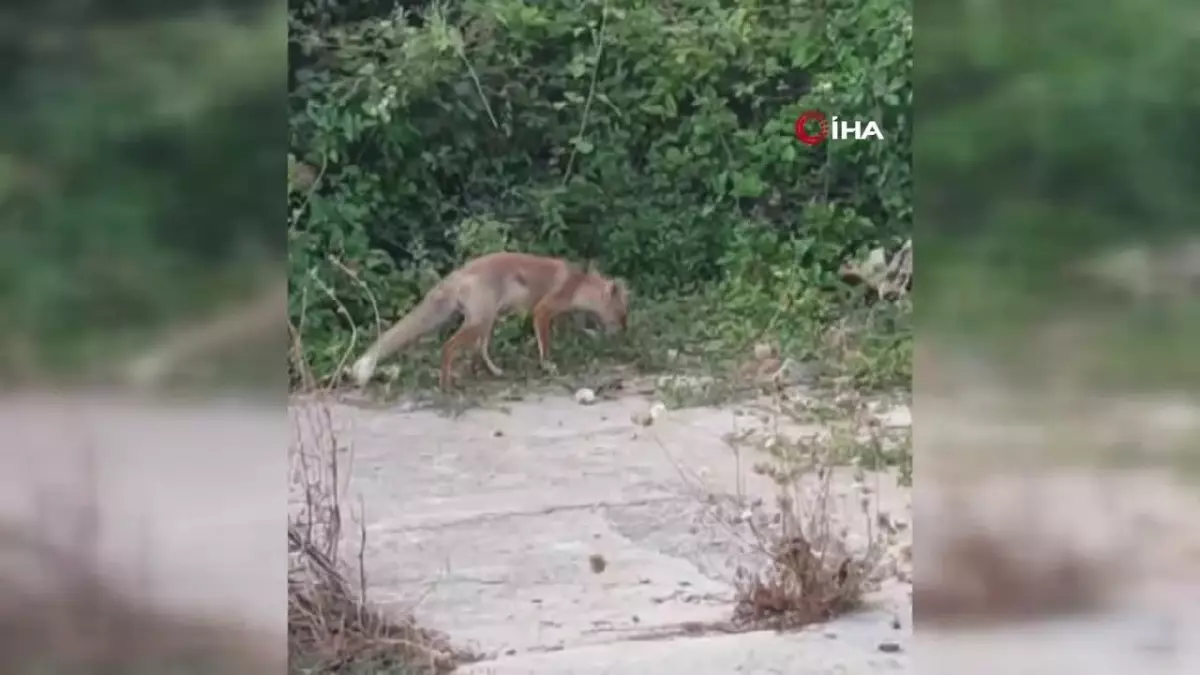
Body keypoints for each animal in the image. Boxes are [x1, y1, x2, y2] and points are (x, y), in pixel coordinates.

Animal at [348, 251, 628, 389]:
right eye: (622, 314)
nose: (625, 331)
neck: (578, 285)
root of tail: (457, 273)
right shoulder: (542, 310)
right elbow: (545, 346)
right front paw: (548, 366)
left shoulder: (557, 315)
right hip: (480, 323)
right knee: (449, 346)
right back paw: (446, 385)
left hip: (487, 321)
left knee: (479, 350)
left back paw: (492, 372)